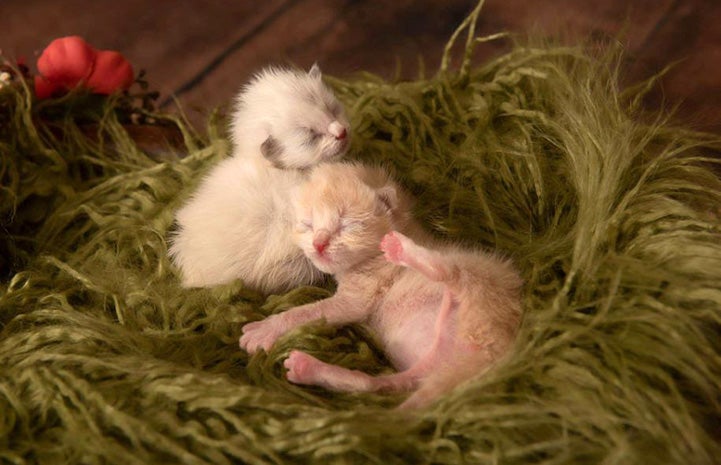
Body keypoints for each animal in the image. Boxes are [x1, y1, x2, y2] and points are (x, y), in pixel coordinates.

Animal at [239, 162, 520, 406]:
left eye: (347, 225)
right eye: (307, 224)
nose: (319, 244)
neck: (371, 258)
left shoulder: (358, 297)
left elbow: (309, 311)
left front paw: (266, 329)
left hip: (484, 284)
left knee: (450, 272)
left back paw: (403, 249)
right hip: (423, 371)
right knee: (375, 385)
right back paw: (307, 369)